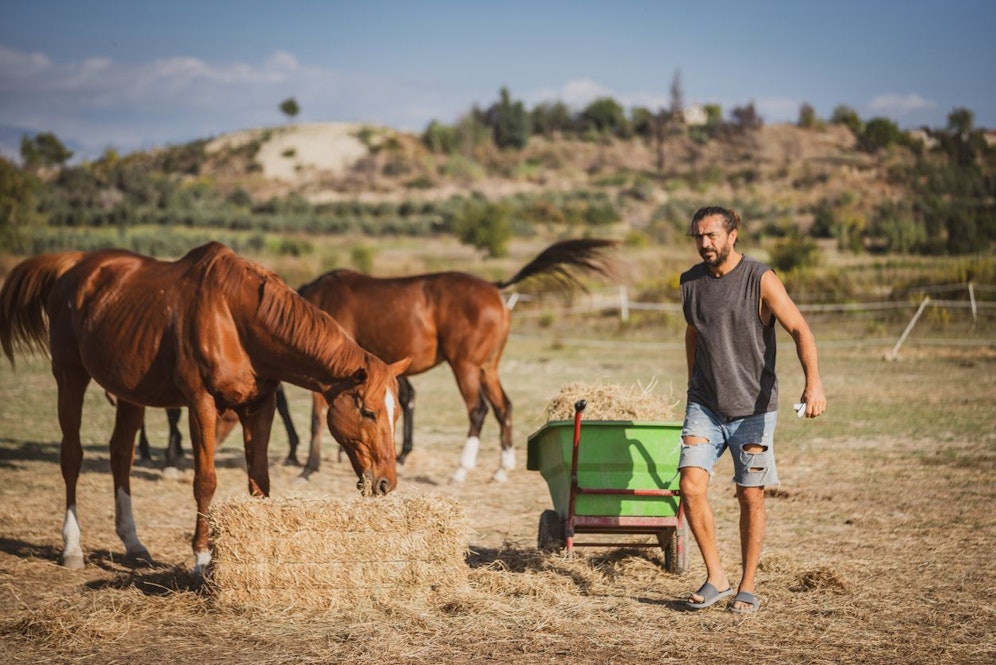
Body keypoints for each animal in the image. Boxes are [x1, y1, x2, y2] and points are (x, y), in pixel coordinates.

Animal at [0, 243, 408, 572]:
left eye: (396, 413)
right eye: (368, 411)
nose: (386, 482)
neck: (236, 317)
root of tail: (75, 265)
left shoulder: (259, 407)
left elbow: (259, 481)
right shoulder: (201, 404)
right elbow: (205, 480)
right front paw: (201, 556)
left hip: (128, 394)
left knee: (121, 455)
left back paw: (133, 543)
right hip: (70, 375)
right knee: (72, 456)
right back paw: (72, 547)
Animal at [294, 239, 616, 482]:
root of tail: (493, 288)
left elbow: (317, 417)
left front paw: (309, 468)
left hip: (465, 367)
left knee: (478, 410)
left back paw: (462, 469)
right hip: (488, 368)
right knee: (503, 407)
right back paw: (501, 469)